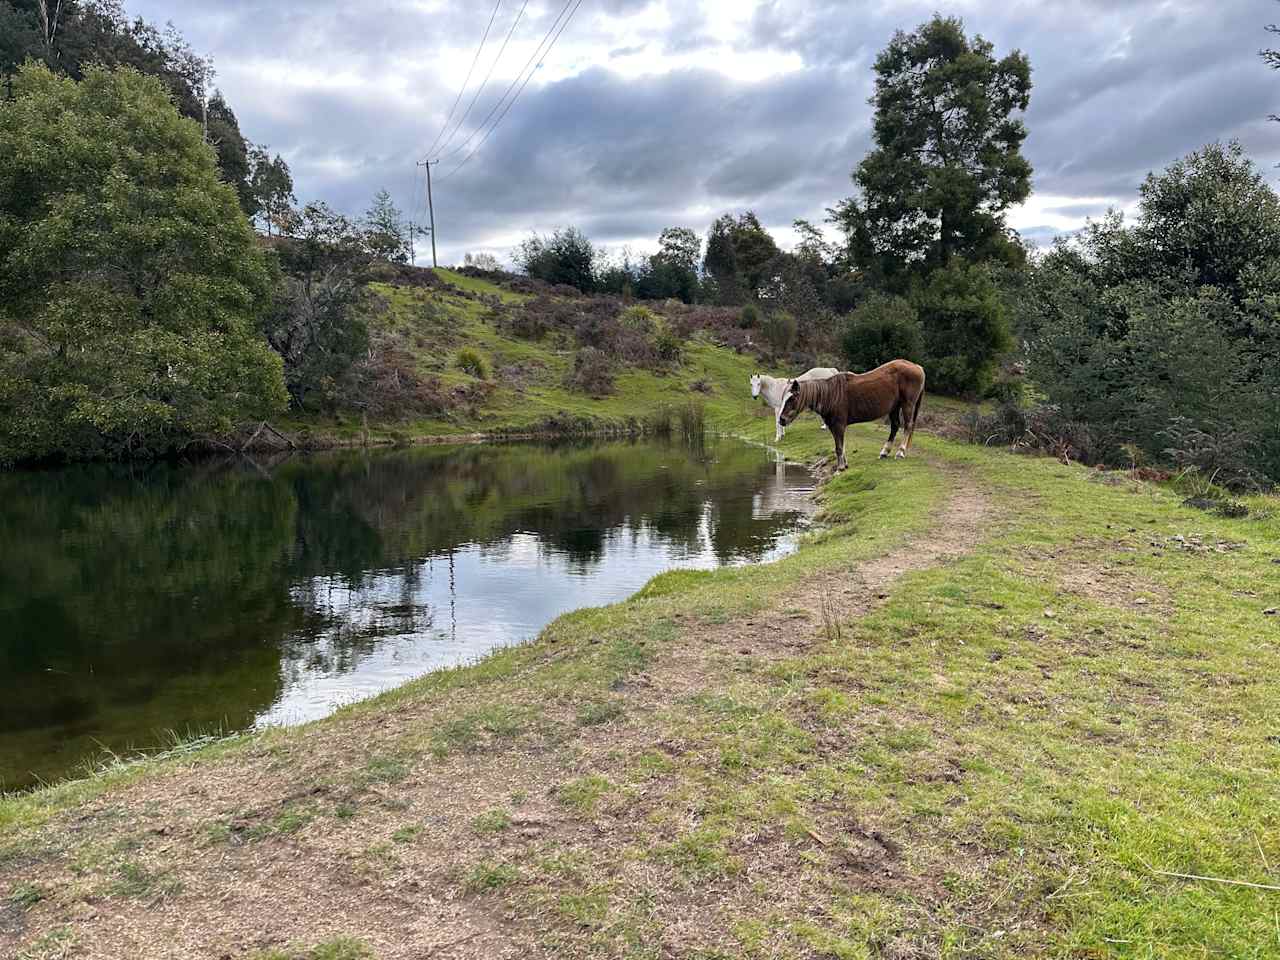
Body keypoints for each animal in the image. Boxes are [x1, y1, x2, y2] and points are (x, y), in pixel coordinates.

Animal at [773, 358, 926, 471]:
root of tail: (917, 367)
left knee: (908, 426)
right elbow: (841, 445)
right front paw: (844, 465)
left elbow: (839, 447)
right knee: (895, 426)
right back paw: (885, 452)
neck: (831, 395)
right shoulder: (834, 426)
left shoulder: (838, 425)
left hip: (907, 404)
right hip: (894, 407)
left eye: (791, 398)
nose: (781, 419)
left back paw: (900, 452)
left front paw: (840, 467)